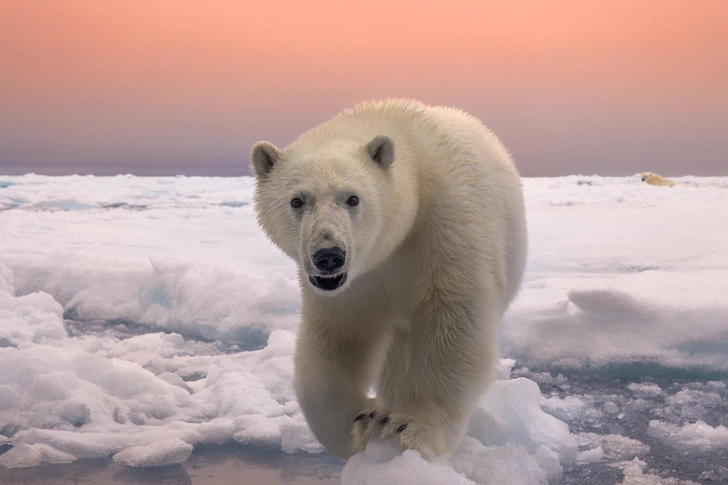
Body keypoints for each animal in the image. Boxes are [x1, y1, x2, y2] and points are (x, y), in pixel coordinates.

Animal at [252, 98, 528, 458]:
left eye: (353, 198)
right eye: (297, 200)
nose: (329, 255)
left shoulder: (445, 230)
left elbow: (453, 322)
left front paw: (401, 424)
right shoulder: (355, 283)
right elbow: (341, 336)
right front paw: (358, 422)